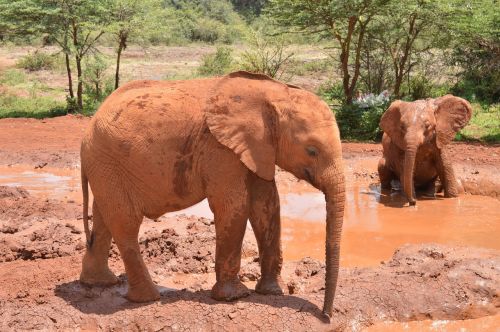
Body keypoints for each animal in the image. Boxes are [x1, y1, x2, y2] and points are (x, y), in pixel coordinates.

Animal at [80, 70, 346, 316]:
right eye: (312, 150)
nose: (326, 315)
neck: (274, 91)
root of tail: (88, 130)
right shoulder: (220, 148)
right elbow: (233, 205)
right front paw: (234, 297)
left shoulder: (256, 149)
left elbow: (267, 204)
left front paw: (272, 292)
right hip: (108, 164)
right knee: (125, 223)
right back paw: (148, 298)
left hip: (104, 168)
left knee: (103, 219)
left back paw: (100, 283)